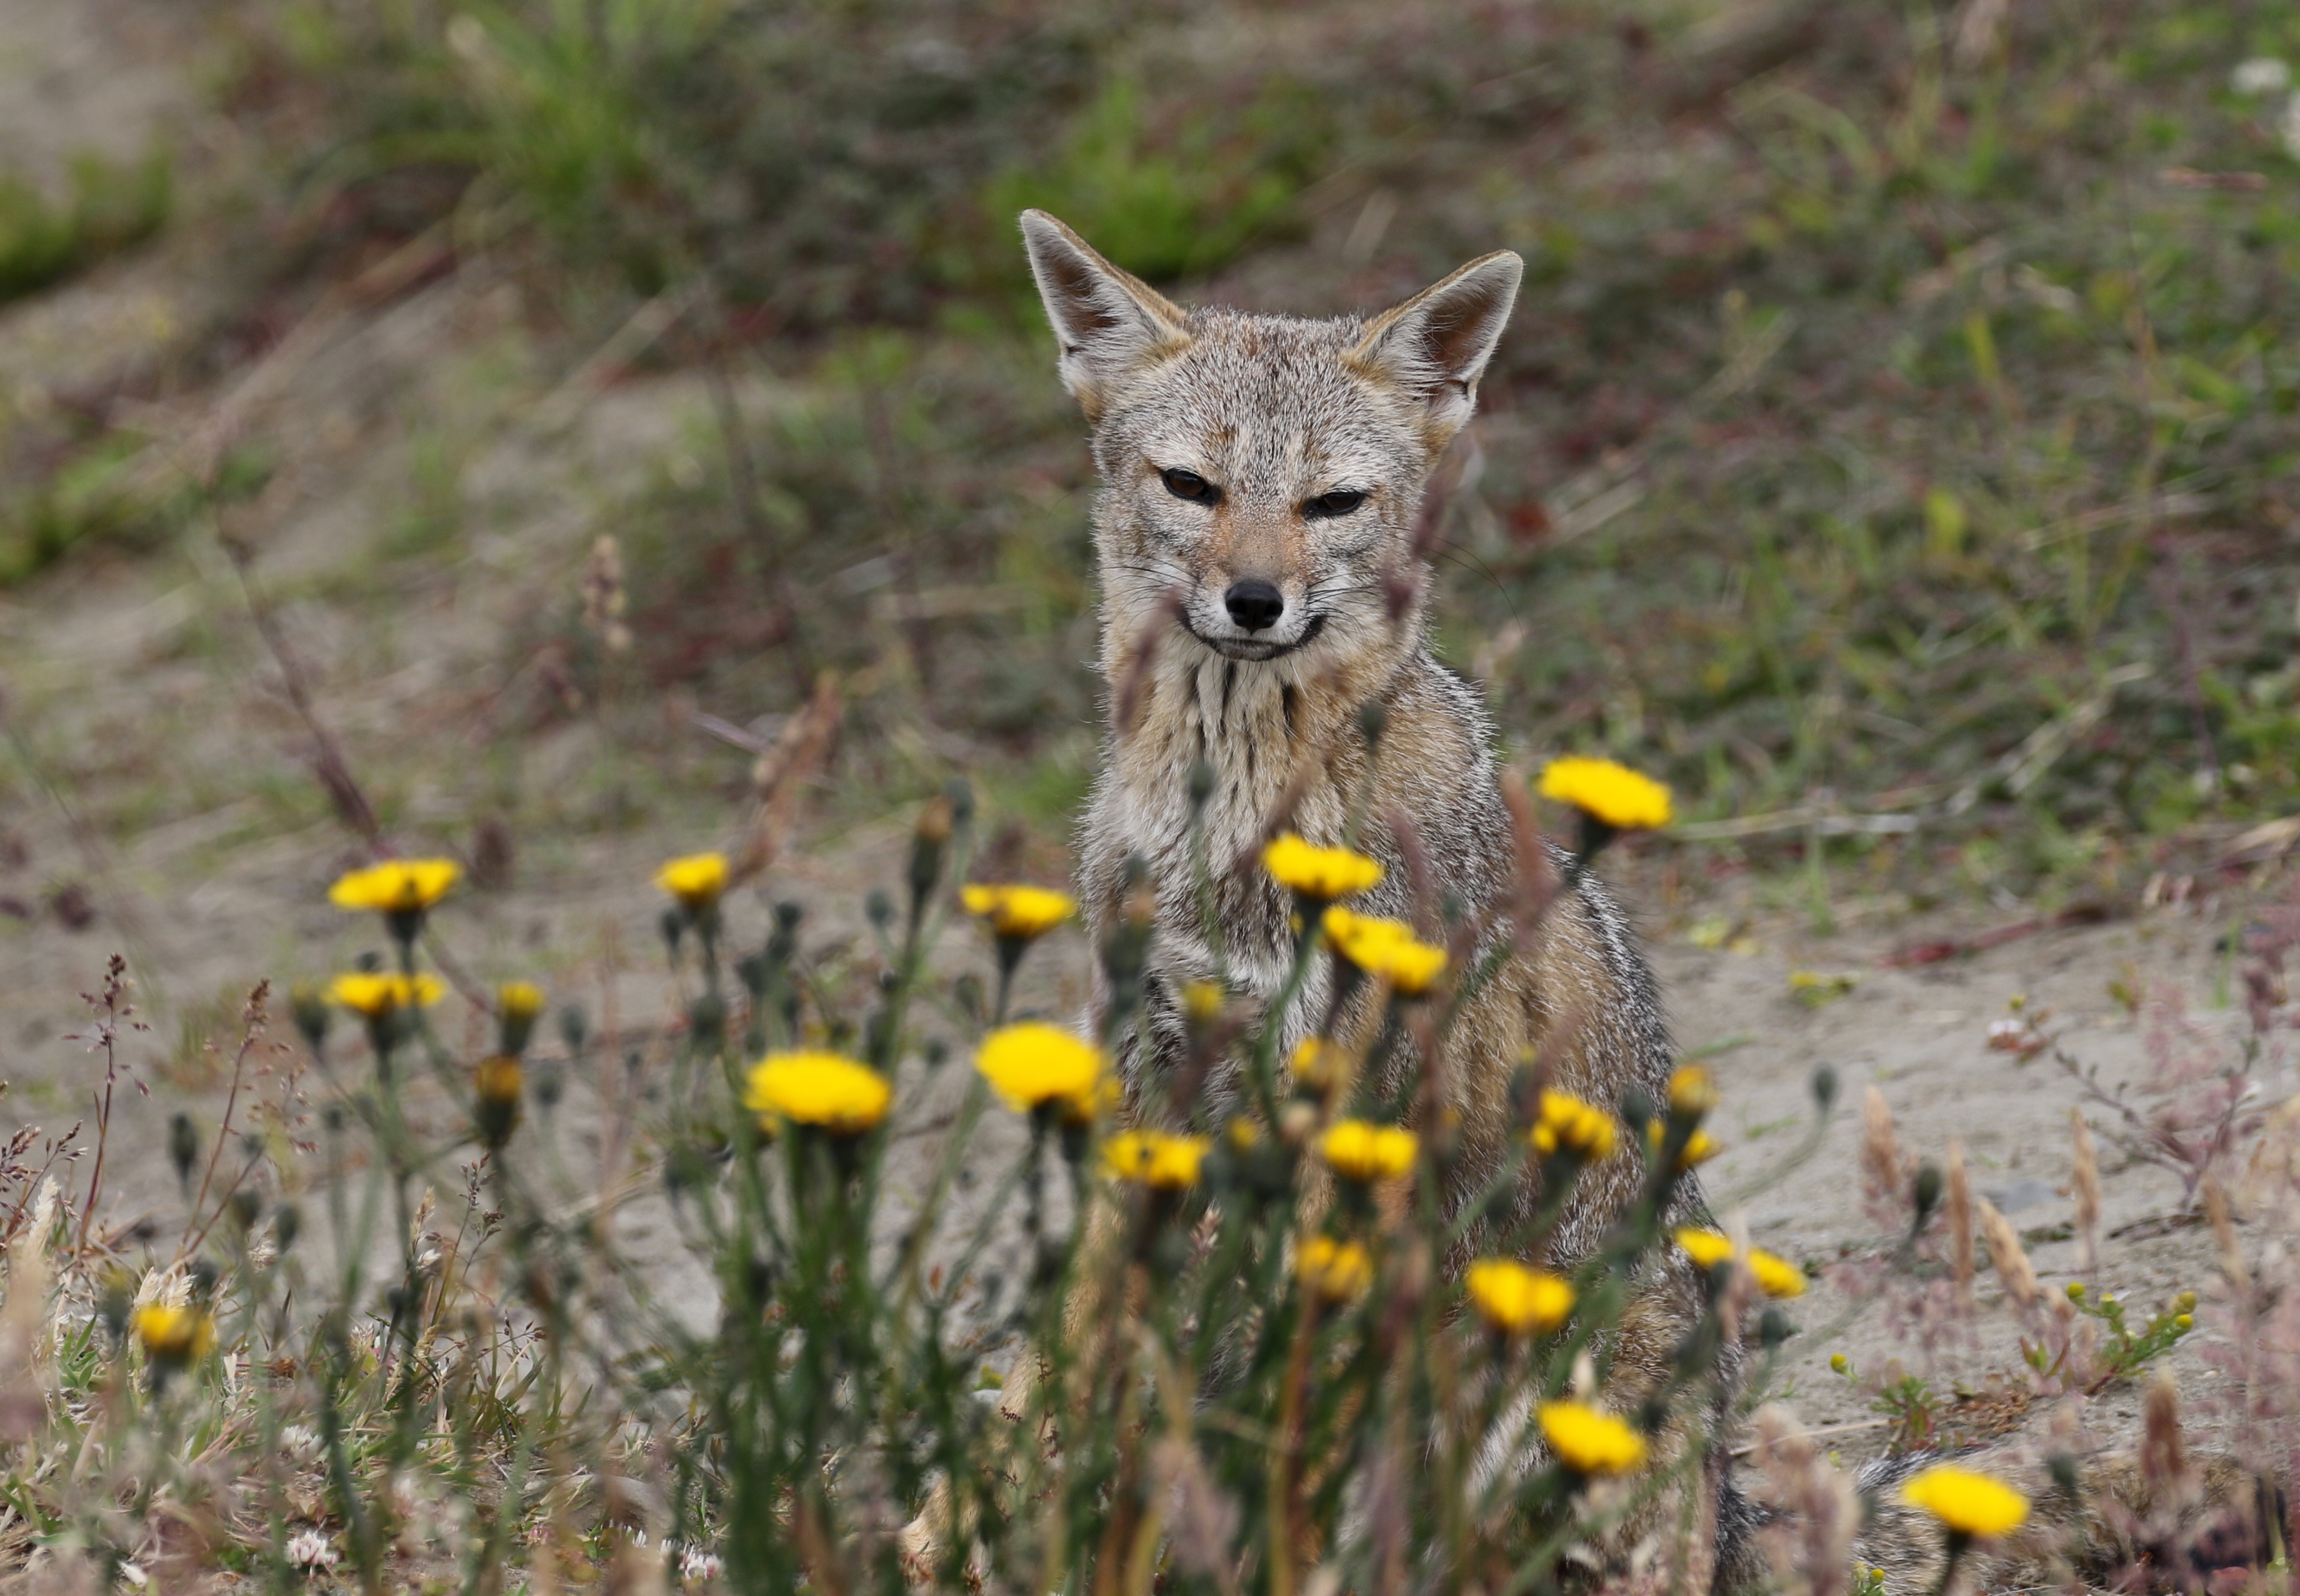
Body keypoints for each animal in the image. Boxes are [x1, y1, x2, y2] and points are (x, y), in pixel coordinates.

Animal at [943, 209, 2278, 1592]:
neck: (1237, 812)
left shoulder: (1345, 1101)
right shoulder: (1145, 1074)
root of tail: (1729, 1501)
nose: (1255, 602)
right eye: (1191, 487)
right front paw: (1015, 1517)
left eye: (1332, 503)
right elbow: (1075, 1354)